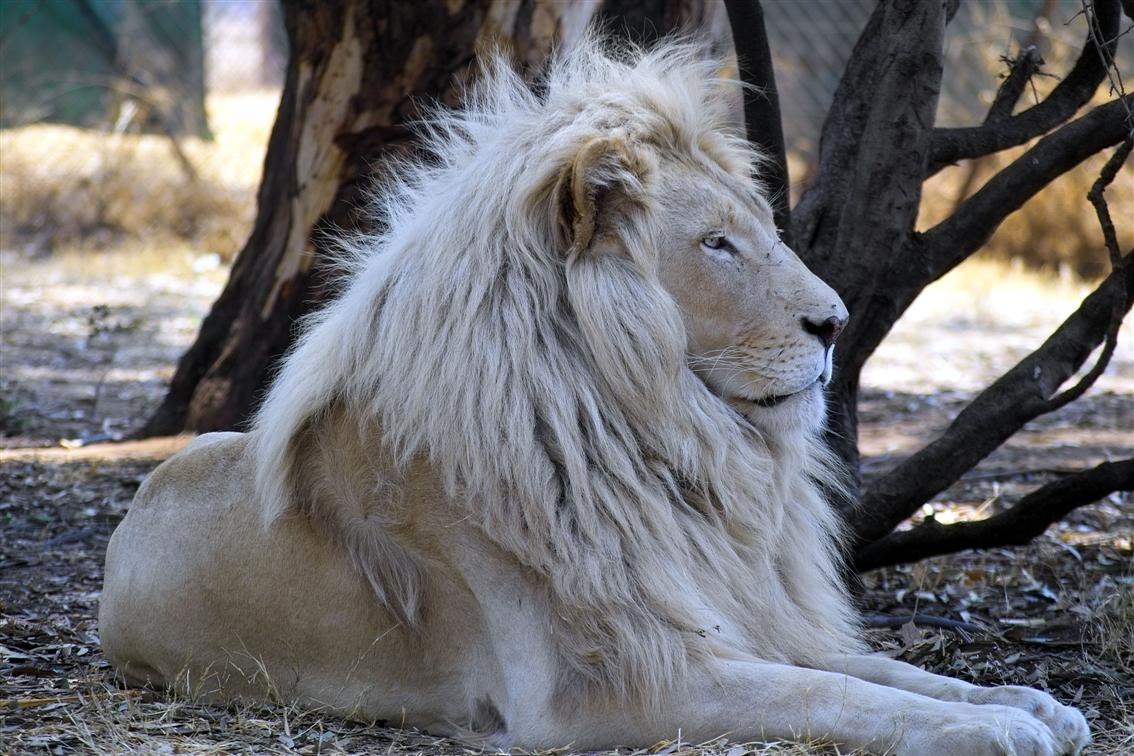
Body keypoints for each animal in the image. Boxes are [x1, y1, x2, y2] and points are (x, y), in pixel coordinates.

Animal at [99, 36, 1088, 756]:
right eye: (717, 244)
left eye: (762, 232)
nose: (837, 323)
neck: (665, 449)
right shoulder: (599, 684)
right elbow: (832, 693)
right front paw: (995, 727)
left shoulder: (740, 616)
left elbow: (880, 672)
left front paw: (1029, 701)